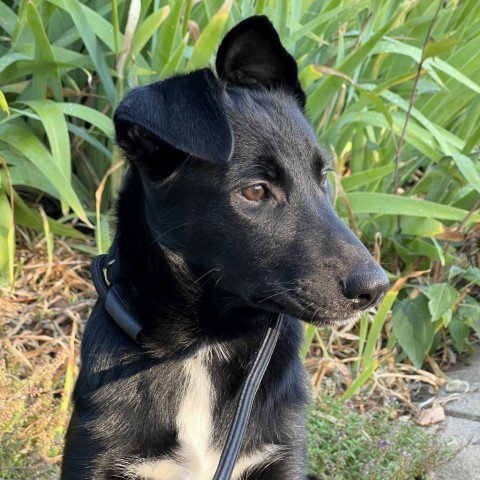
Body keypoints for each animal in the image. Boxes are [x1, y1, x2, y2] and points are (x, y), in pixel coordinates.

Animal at [62, 15, 388, 480]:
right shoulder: (98, 454)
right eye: (255, 191)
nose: (375, 288)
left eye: (323, 175)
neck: (204, 347)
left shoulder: (281, 455)